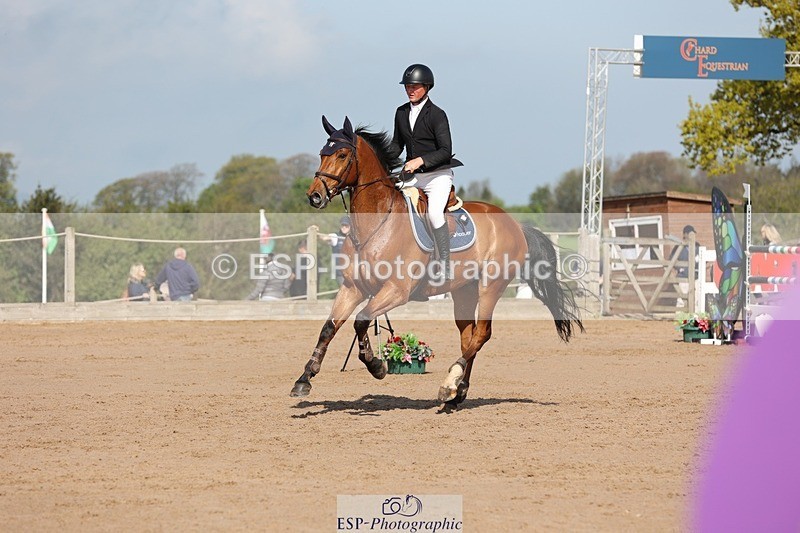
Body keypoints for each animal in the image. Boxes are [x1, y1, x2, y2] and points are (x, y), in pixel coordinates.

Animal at [290, 116, 584, 405]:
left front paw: (376, 365)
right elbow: (329, 328)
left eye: (341, 154)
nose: (314, 196)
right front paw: (304, 379)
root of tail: (515, 225)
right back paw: (458, 392)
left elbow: (361, 321)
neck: (376, 224)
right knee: (469, 336)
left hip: (490, 286)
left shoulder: (396, 291)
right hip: (464, 291)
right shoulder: (353, 288)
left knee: (481, 334)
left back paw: (449, 384)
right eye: (322, 154)